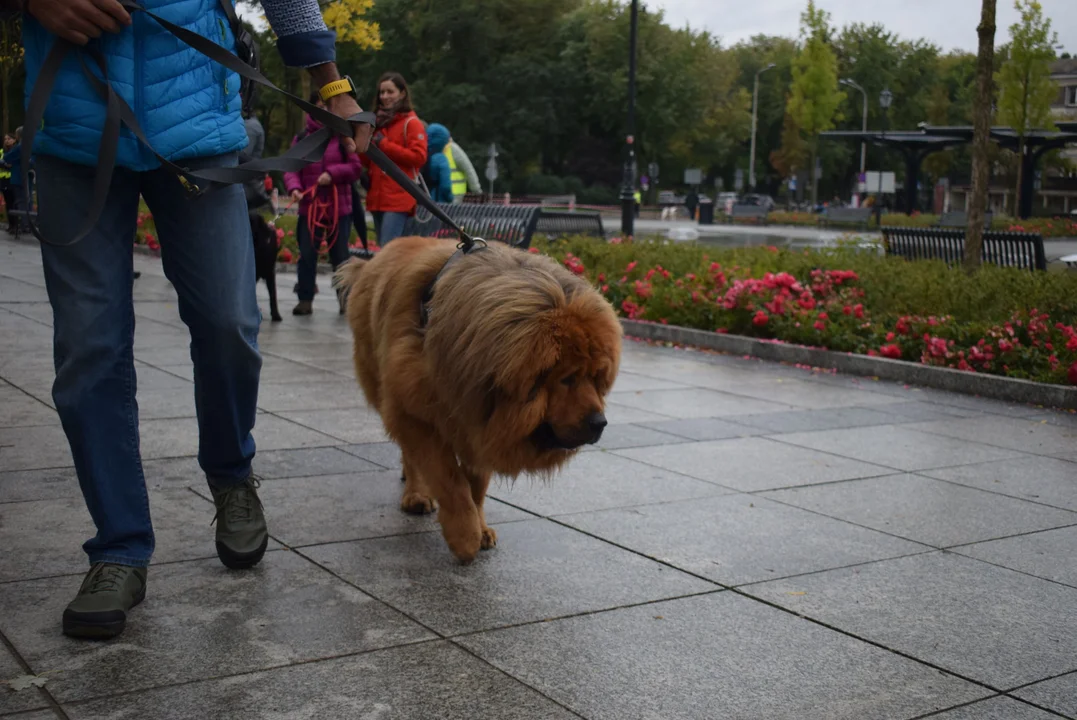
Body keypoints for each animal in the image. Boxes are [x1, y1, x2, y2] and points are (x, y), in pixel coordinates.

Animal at [336, 235, 624, 559]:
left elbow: (477, 482)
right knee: (410, 454)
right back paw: (416, 494)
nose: (600, 422)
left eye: (596, 377)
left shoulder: (481, 419)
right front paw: (465, 535)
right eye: (568, 378)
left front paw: (480, 526)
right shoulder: (419, 411)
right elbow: (449, 479)